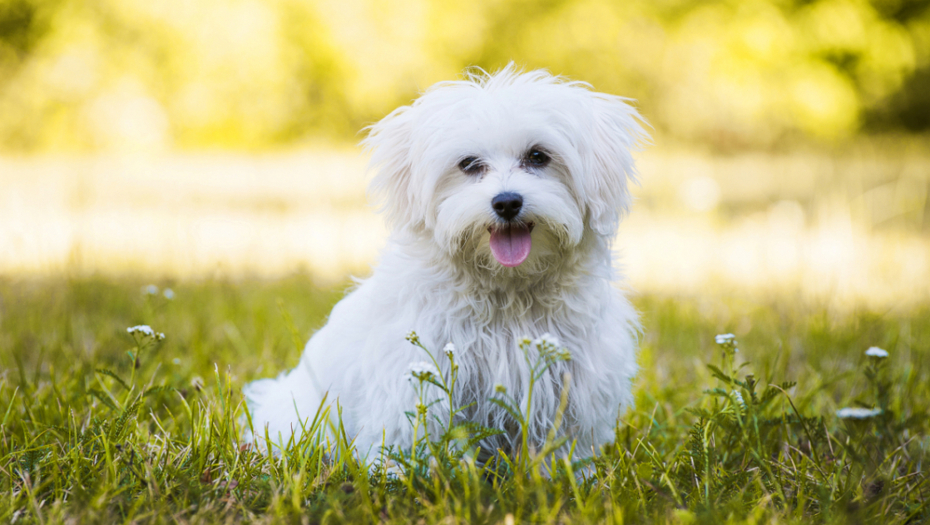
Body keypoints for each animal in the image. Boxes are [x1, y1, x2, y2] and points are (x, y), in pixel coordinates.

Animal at [246, 65, 652, 462]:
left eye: (538, 157)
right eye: (469, 164)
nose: (507, 202)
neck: (508, 291)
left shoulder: (574, 385)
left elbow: (563, 449)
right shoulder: (417, 376)